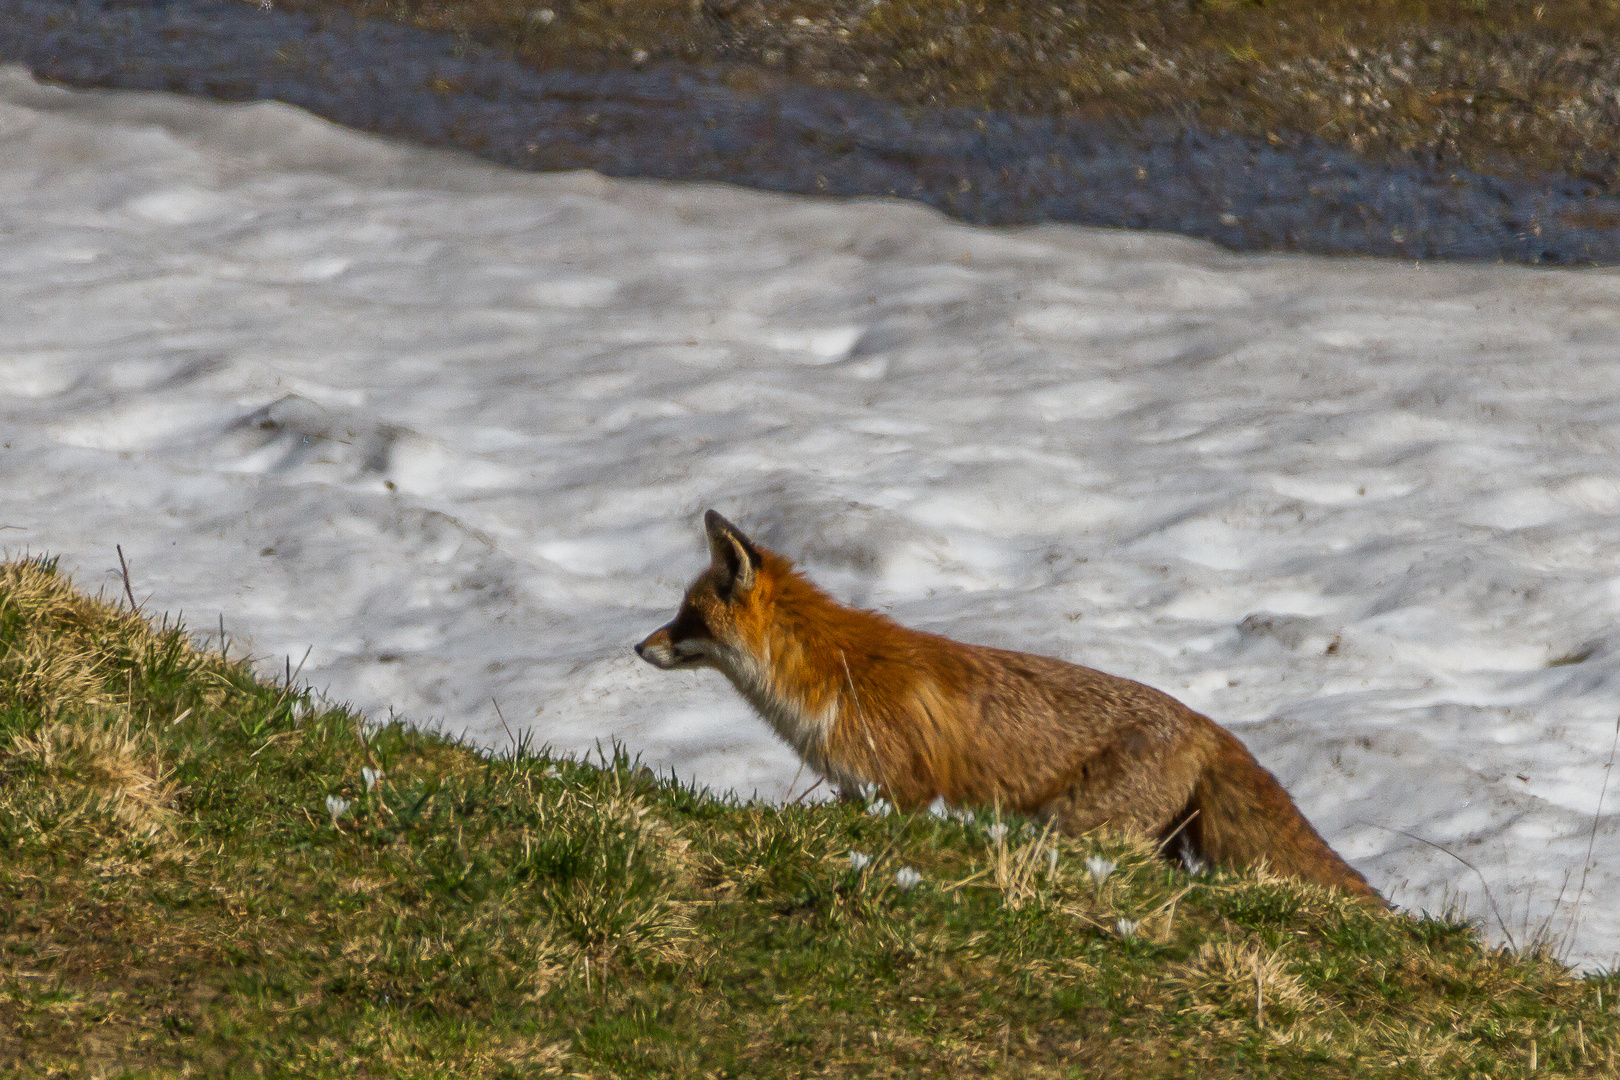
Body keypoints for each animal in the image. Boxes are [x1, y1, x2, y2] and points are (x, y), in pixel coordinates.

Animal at [631, 511, 1380, 900]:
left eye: (686, 618)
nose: (639, 646)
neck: (826, 675)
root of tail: (1204, 723)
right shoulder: (856, 791)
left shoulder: (898, 791)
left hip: (1079, 829)